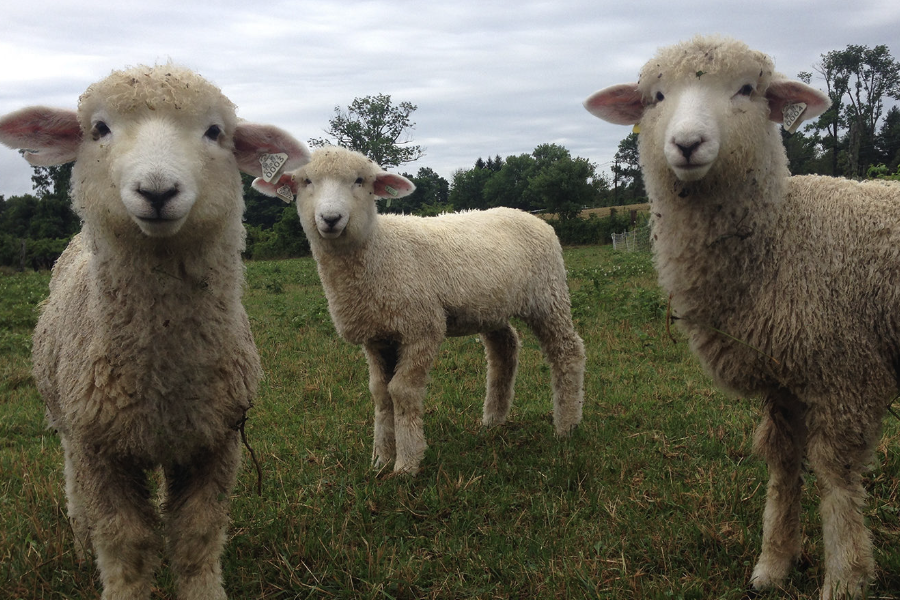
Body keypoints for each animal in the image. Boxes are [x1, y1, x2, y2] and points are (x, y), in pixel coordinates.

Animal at [0, 65, 310, 600]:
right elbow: (125, 544)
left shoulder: (216, 444)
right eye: (99, 129)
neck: (162, 377)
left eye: (215, 132)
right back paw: (80, 546)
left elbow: (196, 537)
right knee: (73, 487)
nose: (158, 191)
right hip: (68, 424)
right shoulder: (100, 451)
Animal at [255, 144, 592, 474]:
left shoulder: (421, 328)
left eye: (360, 181)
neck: (380, 250)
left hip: (547, 295)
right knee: (504, 348)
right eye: (305, 181)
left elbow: (401, 392)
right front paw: (381, 460)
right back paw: (493, 420)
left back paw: (567, 425)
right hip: (490, 306)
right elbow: (380, 393)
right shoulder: (376, 337)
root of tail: (531, 217)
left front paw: (406, 463)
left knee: (567, 350)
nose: (330, 218)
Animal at [584, 35, 900, 596]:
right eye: (656, 97)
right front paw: (773, 565)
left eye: (747, 89)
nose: (687, 144)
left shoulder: (846, 373)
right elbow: (783, 464)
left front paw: (845, 578)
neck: (782, 233)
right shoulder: (782, 378)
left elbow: (837, 477)